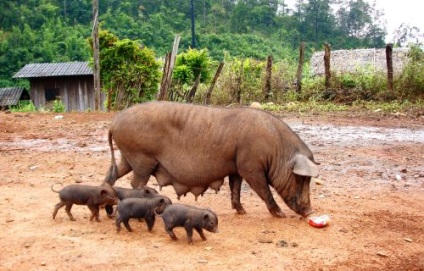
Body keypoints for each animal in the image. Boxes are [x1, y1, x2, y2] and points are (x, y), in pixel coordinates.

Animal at [104, 101, 320, 219]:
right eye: (300, 178)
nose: (310, 212)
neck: (277, 151)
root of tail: (114, 122)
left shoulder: (236, 167)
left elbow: (235, 188)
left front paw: (242, 211)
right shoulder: (251, 167)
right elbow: (264, 190)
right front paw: (280, 214)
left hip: (128, 157)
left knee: (113, 174)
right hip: (142, 157)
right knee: (136, 183)